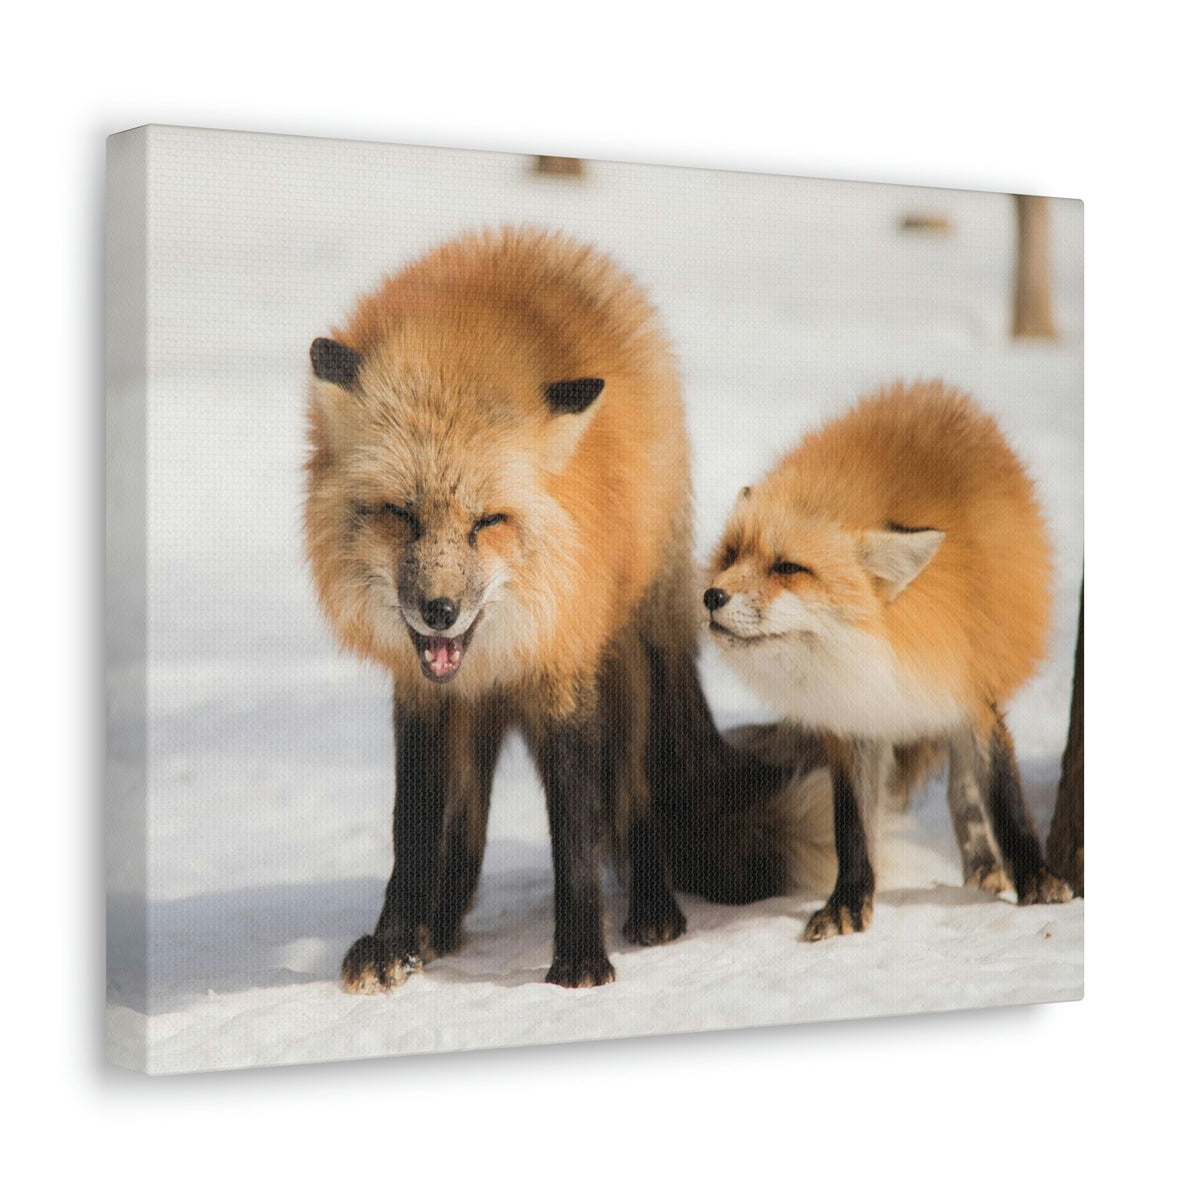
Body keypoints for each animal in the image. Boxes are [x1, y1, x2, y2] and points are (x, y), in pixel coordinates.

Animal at [304, 228, 816, 991]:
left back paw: (654, 910)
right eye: (400, 514)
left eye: (488, 521)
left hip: (627, 663)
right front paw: (395, 942)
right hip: (483, 713)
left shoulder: (563, 667)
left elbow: (575, 822)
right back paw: (440, 927)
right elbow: (414, 830)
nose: (439, 611)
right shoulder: (422, 693)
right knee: (469, 828)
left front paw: (579, 956)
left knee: (633, 800)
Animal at [703, 381, 1073, 943]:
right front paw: (850, 902)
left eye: (788, 568)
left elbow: (1004, 798)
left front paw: (1036, 879)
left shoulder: (972, 691)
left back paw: (985, 865)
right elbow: (852, 826)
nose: (711, 597)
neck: (882, 651)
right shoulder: (854, 721)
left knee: (963, 792)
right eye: (730, 555)